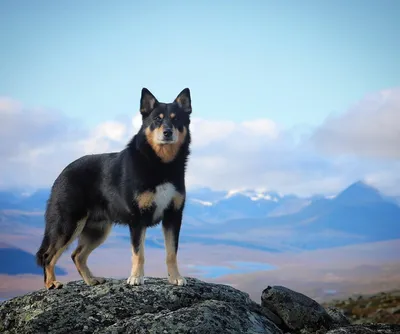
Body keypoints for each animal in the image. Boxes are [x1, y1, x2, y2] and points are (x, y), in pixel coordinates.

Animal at [36, 87, 193, 288]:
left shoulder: (173, 216)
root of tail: (61, 174)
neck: (160, 164)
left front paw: (175, 277)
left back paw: (91, 280)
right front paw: (135, 278)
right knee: (48, 255)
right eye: (157, 119)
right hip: (68, 224)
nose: (167, 132)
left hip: (98, 230)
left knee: (77, 255)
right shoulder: (137, 219)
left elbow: (171, 252)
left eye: (176, 119)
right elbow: (138, 253)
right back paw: (51, 284)